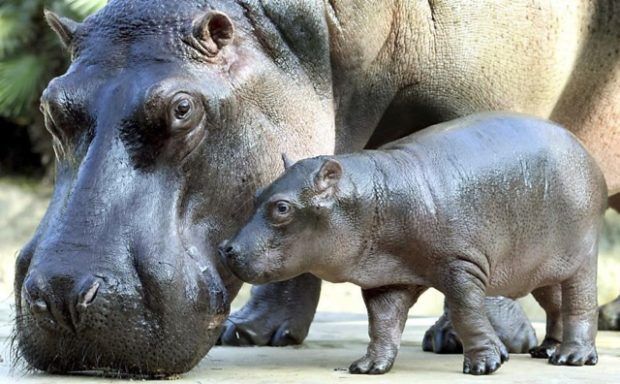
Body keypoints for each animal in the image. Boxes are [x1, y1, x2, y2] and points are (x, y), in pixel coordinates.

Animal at [220, 113, 608, 376]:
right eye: (257, 193)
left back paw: (572, 358)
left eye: (282, 207)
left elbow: (466, 313)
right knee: (555, 303)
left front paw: (484, 365)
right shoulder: (387, 279)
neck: (370, 198)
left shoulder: (460, 266)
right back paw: (547, 351)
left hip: (582, 253)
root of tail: (586, 153)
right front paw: (367, 367)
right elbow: (382, 323)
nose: (225, 248)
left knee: (580, 302)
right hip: (542, 264)